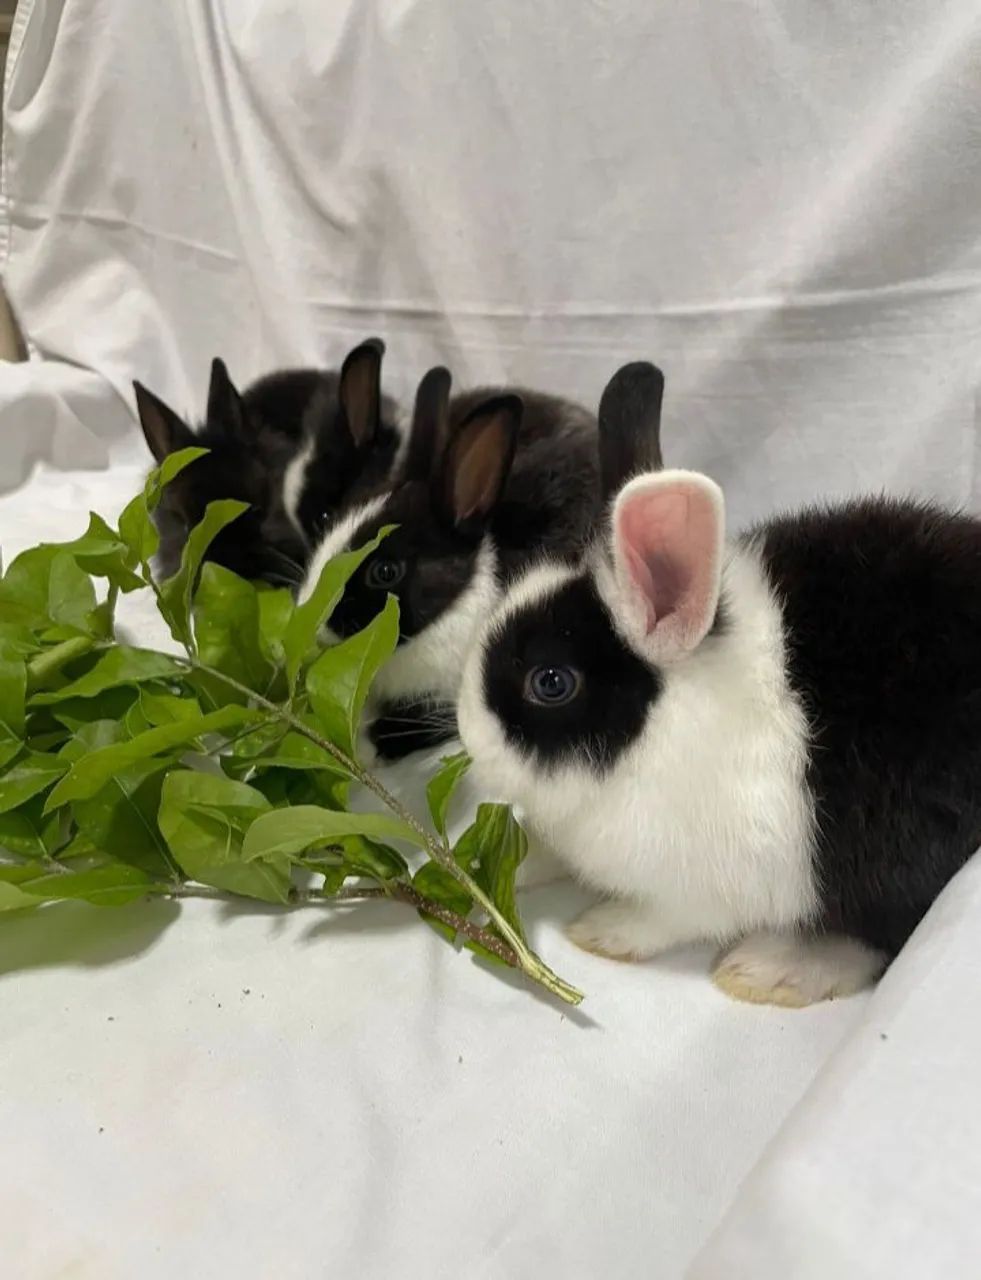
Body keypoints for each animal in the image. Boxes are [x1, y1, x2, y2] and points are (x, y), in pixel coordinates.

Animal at [455, 360, 981, 1007]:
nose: (468, 735)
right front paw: (506, 864)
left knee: (881, 931)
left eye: (550, 682)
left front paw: (603, 931)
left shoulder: (699, 892)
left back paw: (772, 968)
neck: (657, 732)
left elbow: (662, 921)